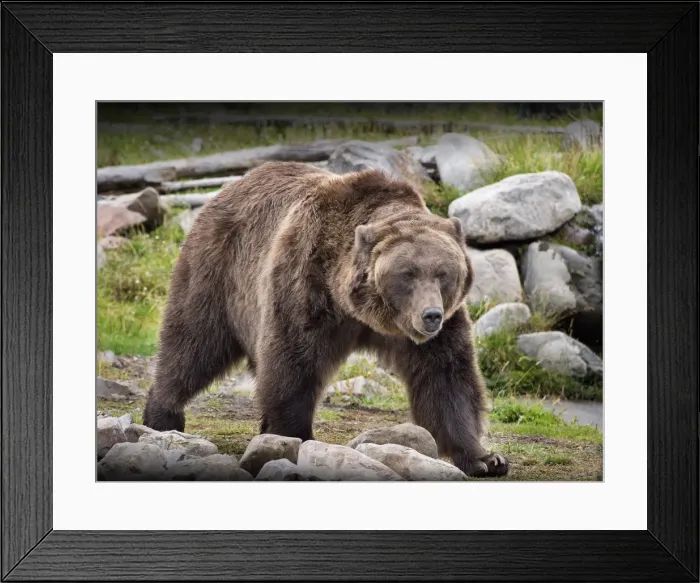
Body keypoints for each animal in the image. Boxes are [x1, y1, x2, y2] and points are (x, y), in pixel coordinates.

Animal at [143, 161, 509, 478]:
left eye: (444, 273)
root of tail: (231, 186)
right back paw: (162, 414)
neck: (363, 312)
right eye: (407, 273)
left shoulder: (435, 329)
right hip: (219, 269)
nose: (430, 315)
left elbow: (447, 378)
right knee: (193, 341)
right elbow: (292, 362)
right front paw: (295, 436)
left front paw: (485, 458)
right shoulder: (307, 284)